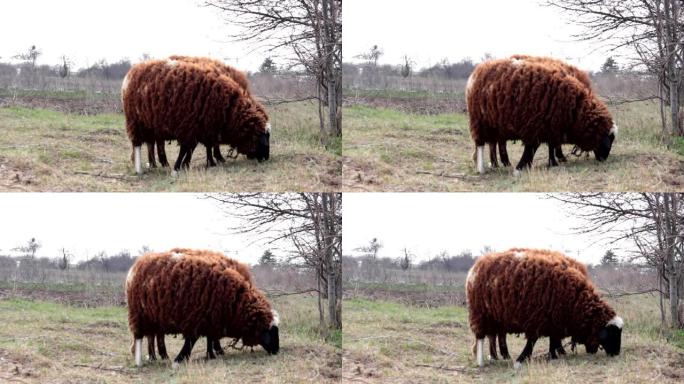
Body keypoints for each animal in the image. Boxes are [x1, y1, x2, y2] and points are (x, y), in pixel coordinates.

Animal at [121, 59, 272, 174]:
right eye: (262, 138)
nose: (266, 158)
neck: (229, 109)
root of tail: (131, 73)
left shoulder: (204, 127)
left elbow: (199, 147)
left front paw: (197, 163)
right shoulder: (190, 126)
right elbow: (187, 148)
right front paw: (179, 167)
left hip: (152, 125)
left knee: (151, 143)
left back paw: (157, 163)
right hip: (136, 121)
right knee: (138, 145)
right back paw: (141, 168)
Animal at [127, 248, 280, 368]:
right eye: (270, 332)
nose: (276, 351)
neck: (235, 303)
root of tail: (137, 265)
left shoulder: (211, 318)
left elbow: (209, 338)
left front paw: (211, 354)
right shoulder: (198, 317)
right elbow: (193, 340)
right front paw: (180, 359)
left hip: (156, 316)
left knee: (153, 335)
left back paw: (158, 356)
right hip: (140, 313)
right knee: (140, 337)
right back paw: (142, 360)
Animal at [464, 56, 620, 174]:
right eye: (608, 138)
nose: (604, 158)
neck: (576, 110)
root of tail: (477, 71)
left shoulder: (550, 125)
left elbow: (548, 145)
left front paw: (551, 162)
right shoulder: (536, 125)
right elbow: (532, 147)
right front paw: (521, 167)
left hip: (496, 124)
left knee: (494, 142)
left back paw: (498, 163)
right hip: (480, 121)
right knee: (481, 145)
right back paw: (483, 168)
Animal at [468, 248, 624, 368]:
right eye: (612, 334)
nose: (616, 353)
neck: (575, 303)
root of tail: (477, 265)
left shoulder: (554, 318)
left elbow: (552, 338)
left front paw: (553, 355)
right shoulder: (538, 318)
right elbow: (533, 340)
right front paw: (522, 358)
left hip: (498, 316)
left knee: (495, 335)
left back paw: (500, 355)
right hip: (481, 313)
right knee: (482, 337)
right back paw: (483, 360)